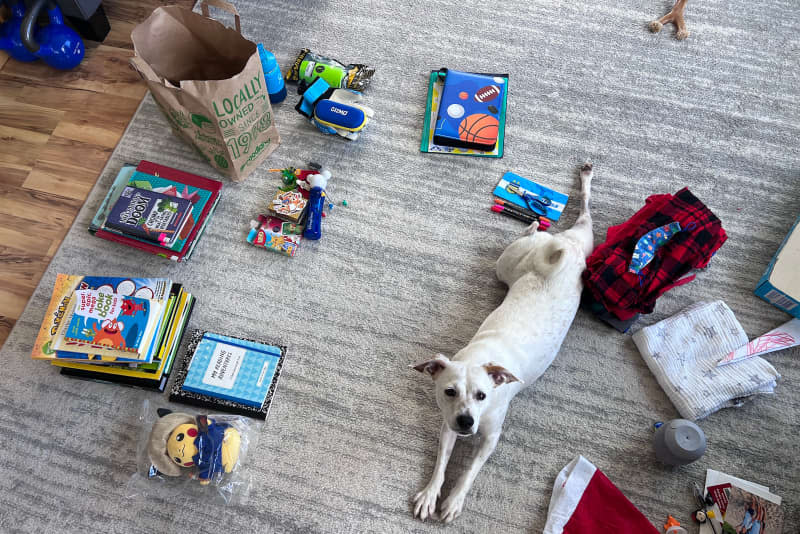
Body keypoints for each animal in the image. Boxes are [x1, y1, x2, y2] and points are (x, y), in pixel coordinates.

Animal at [412, 162, 592, 524]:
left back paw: (537, 219)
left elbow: (469, 471)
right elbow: (441, 462)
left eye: (483, 395)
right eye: (449, 391)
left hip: (512, 261)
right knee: (580, 216)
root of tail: (565, 252)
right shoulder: (448, 426)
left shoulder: (490, 439)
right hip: (557, 250)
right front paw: (431, 493)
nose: (467, 421)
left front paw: (454, 499)